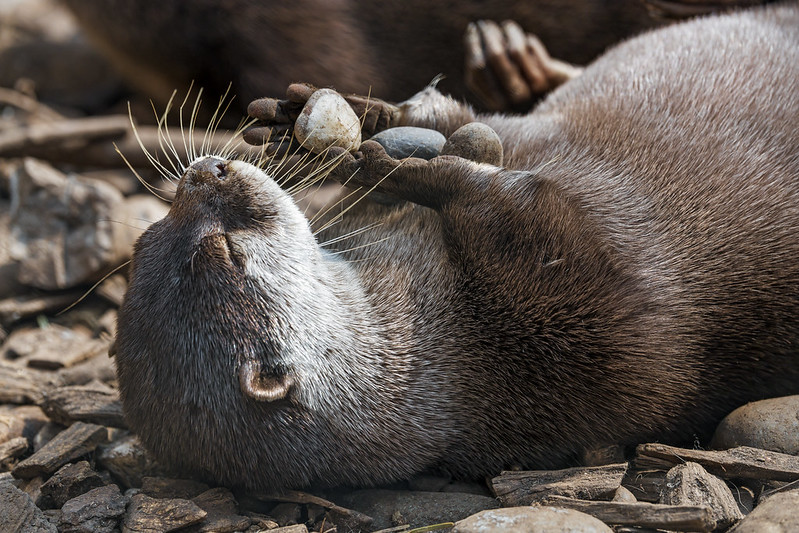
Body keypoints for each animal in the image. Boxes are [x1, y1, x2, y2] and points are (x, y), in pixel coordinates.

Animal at [114, 5, 799, 494]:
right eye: (226, 249)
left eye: (149, 235)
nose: (205, 172)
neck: (448, 319)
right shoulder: (605, 311)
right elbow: (531, 208)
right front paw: (403, 167)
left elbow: (453, 119)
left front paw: (344, 119)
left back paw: (511, 61)